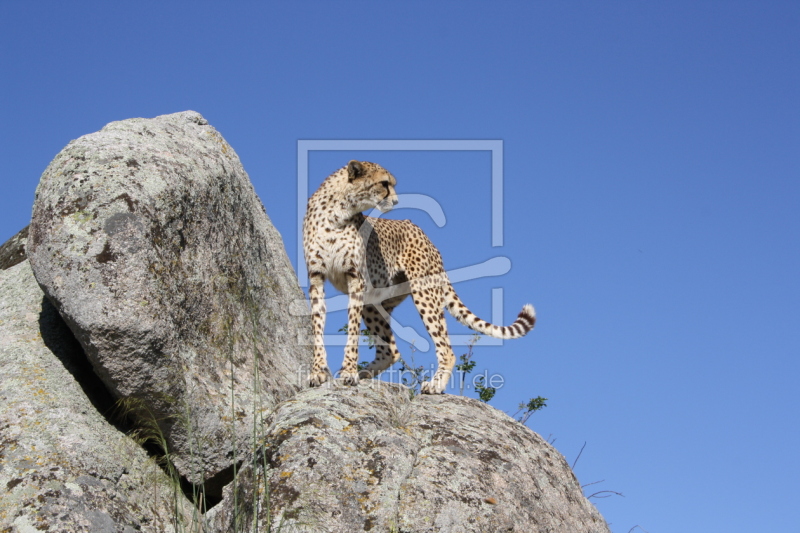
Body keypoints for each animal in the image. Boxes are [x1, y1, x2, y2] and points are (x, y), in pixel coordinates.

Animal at [304, 160, 536, 392]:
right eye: (384, 183)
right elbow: (317, 325)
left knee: (445, 349)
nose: (396, 201)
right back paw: (364, 374)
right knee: (391, 350)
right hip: (375, 302)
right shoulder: (316, 277)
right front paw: (318, 372)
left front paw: (349, 372)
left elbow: (352, 329)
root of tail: (424, 234)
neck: (338, 212)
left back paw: (434, 385)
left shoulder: (355, 278)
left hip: (423, 292)